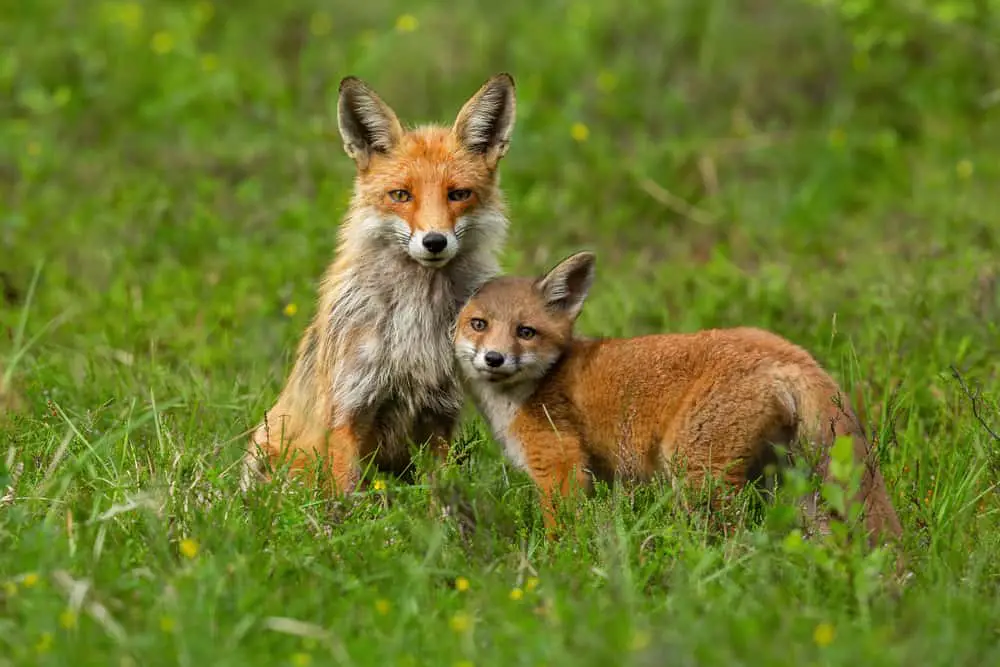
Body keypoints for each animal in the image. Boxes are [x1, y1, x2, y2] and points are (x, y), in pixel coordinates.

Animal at [241, 74, 516, 496]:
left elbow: (440, 497)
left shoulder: (440, 412)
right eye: (401, 195)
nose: (434, 241)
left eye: (458, 194)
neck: (418, 325)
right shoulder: (349, 406)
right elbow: (342, 497)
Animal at [454, 250, 908, 548]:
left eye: (525, 332)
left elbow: (562, 533)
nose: (494, 358)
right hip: (796, 482)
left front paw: (557, 570)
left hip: (695, 473)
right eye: (479, 325)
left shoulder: (561, 467)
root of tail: (788, 351)